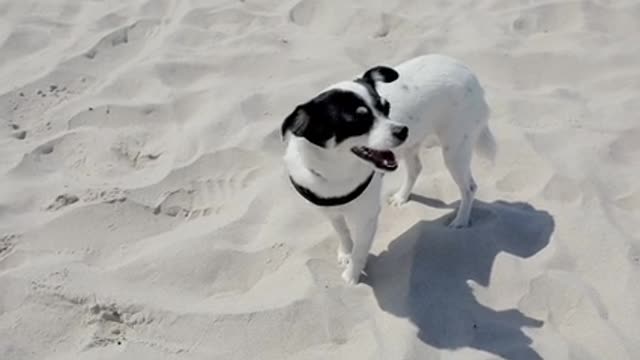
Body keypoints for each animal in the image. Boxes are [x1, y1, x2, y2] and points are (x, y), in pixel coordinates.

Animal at [282, 54, 498, 284]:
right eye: (356, 121)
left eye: (387, 108)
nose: (403, 130)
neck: (336, 173)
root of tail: (467, 71)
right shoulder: (330, 212)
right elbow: (343, 233)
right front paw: (346, 253)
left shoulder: (367, 218)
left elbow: (360, 250)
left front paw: (352, 277)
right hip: (416, 146)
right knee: (416, 168)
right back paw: (402, 197)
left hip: (454, 151)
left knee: (469, 188)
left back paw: (461, 221)